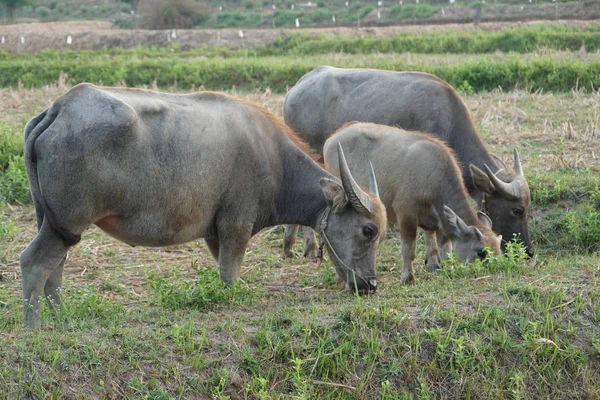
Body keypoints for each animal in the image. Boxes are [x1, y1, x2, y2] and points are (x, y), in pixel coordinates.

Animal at [19, 83, 390, 328]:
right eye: (368, 230)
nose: (371, 286)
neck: (277, 162)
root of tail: (59, 108)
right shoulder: (236, 226)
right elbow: (229, 274)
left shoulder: (215, 234)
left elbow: (222, 268)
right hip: (68, 222)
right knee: (34, 262)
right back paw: (34, 327)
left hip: (53, 222)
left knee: (56, 267)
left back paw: (62, 317)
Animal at [284, 66, 532, 256]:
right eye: (517, 210)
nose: (528, 251)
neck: (448, 120)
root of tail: (295, 89)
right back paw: (309, 247)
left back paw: (290, 246)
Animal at [324, 122, 502, 284]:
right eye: (481, 252)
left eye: (498, 249)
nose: (495, 270)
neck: (433, 176)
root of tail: (332, 138)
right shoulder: (406, 215)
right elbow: (409, 250)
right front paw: (408, 278)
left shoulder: (435, 219)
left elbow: (442, 245)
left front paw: (440, 267)